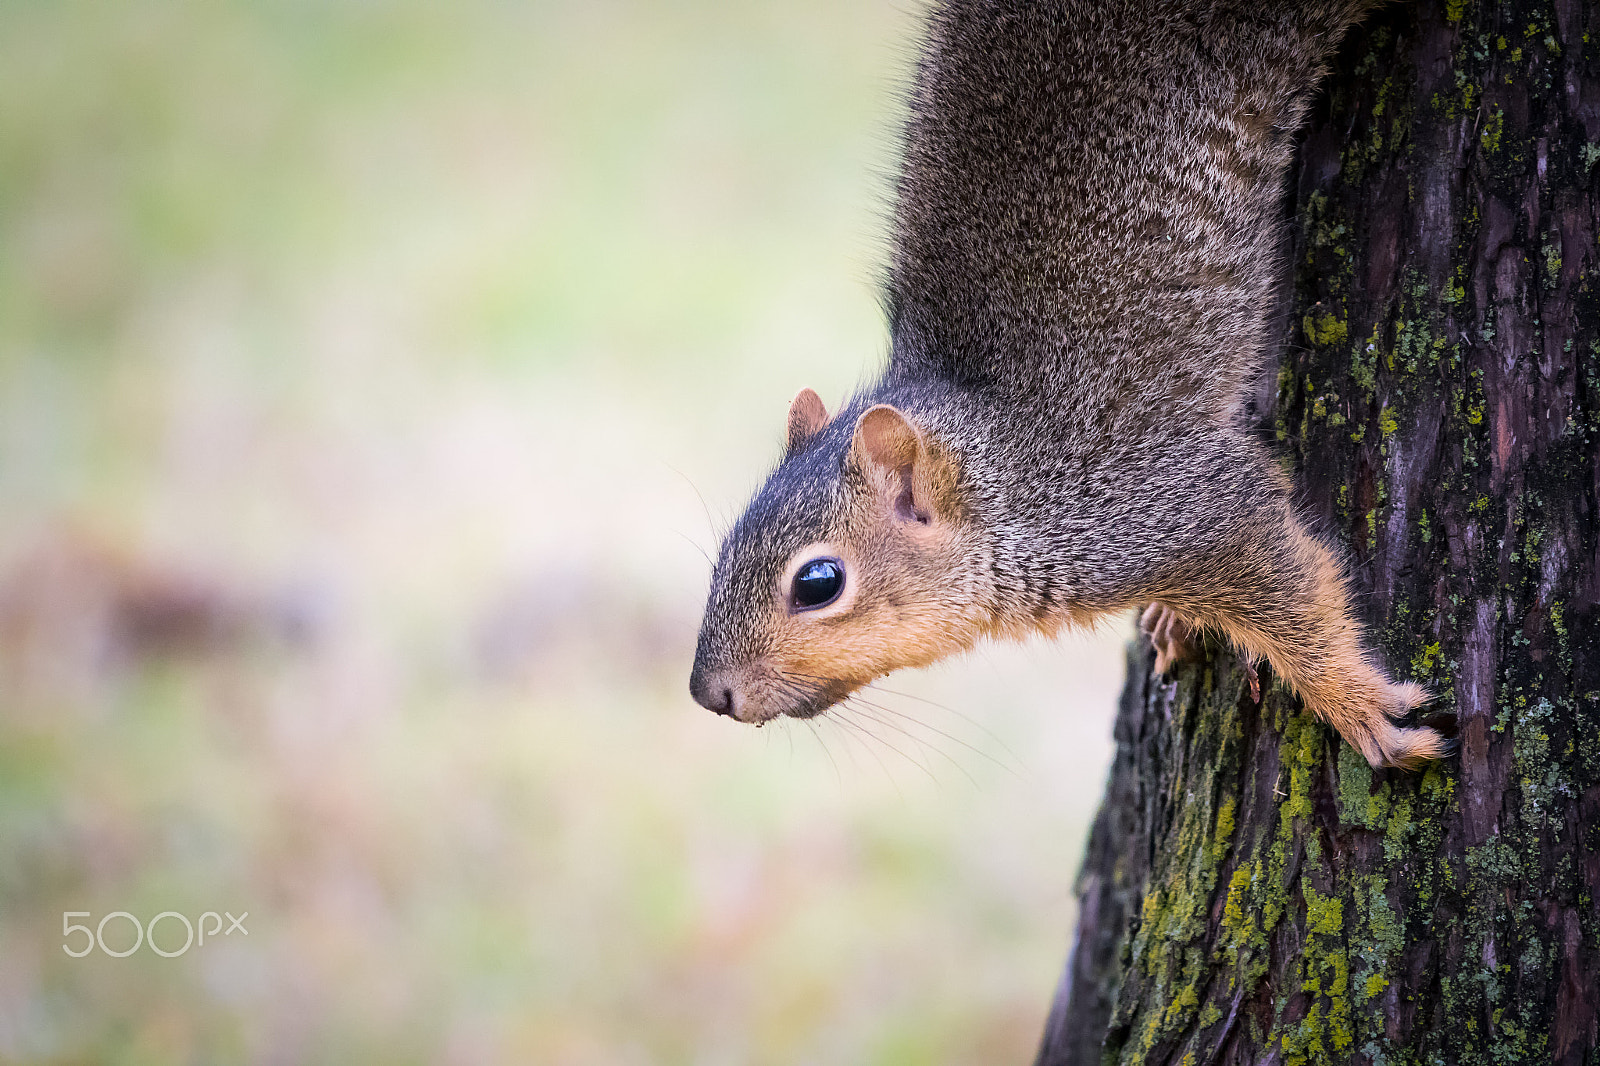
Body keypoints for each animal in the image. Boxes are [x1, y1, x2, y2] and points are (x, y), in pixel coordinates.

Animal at [684, 0, 1452, 765]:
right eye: (723, 554)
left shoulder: (1174, 507)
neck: (1009, 474)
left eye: (818, 584)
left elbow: (1294, 591)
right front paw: (1178, 617)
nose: (709, 694)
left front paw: (1358, 708)